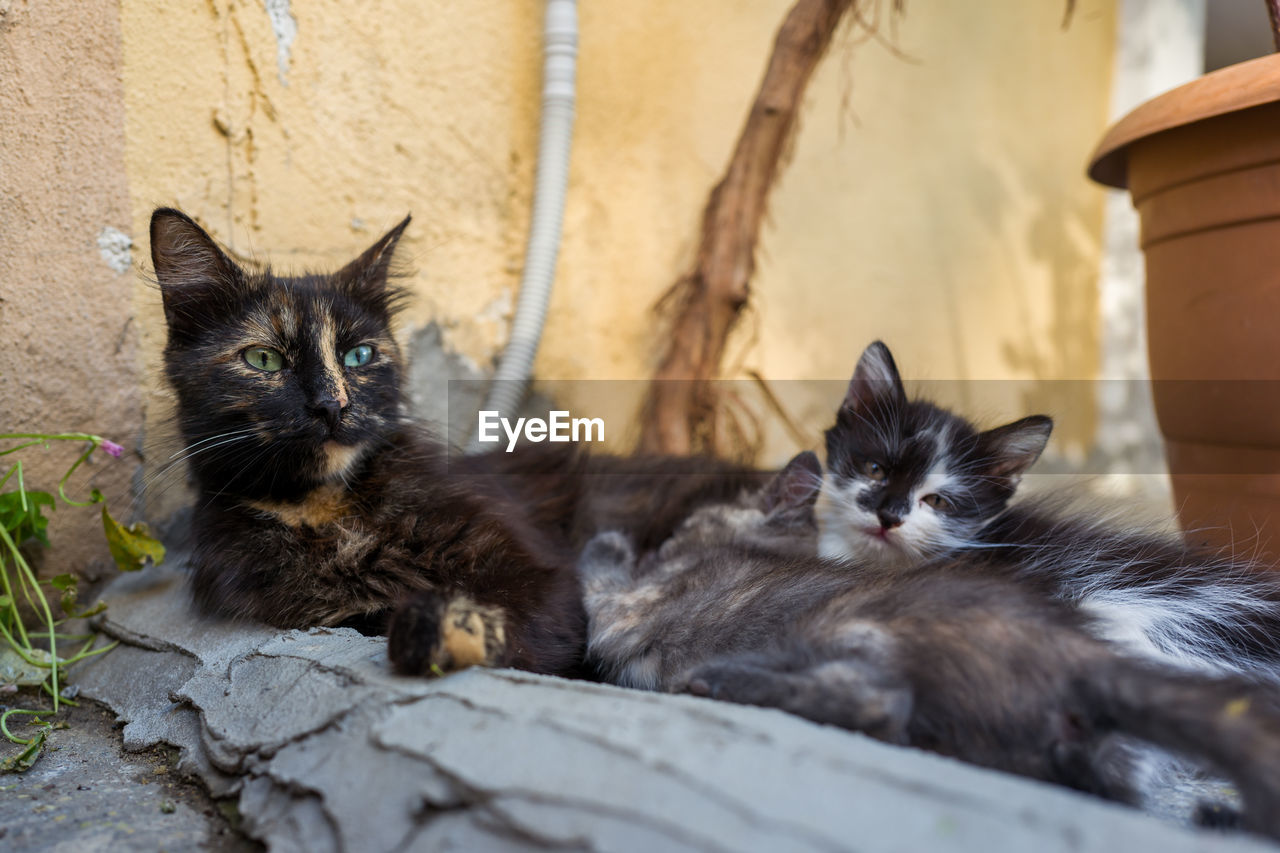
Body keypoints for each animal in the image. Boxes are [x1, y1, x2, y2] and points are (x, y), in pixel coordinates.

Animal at [151, 208, 586, 676]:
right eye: (263, 359)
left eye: (359, 355)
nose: (332, 405)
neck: (326, 509)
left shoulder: (540, 573)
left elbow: (512, 625)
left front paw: (433, 630)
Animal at [583, 450, 1280, 835]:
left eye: (684, 529)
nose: (662, 542)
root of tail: (1083, 652)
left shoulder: (624, 611)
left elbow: (599, 579)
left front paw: (609, 541)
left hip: (849, 628)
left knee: (880, 705)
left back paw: (729, 680)